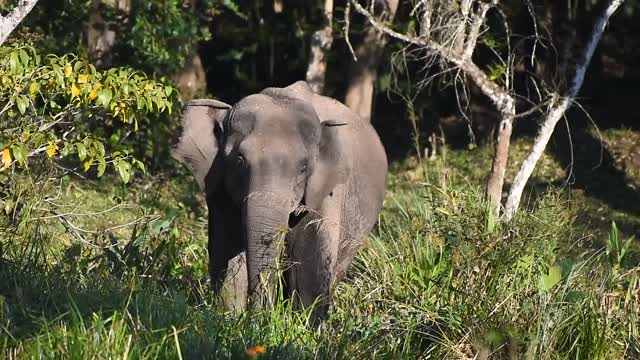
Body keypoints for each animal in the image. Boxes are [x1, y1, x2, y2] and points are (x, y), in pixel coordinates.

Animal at [172, 80, 388, 320]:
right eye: (239, 160)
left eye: (303, 168)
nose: (260, 318)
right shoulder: (219, 186)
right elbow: (226, 247)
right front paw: (229, 318)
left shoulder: (326, 190)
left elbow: (311, 254)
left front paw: (305, 325)